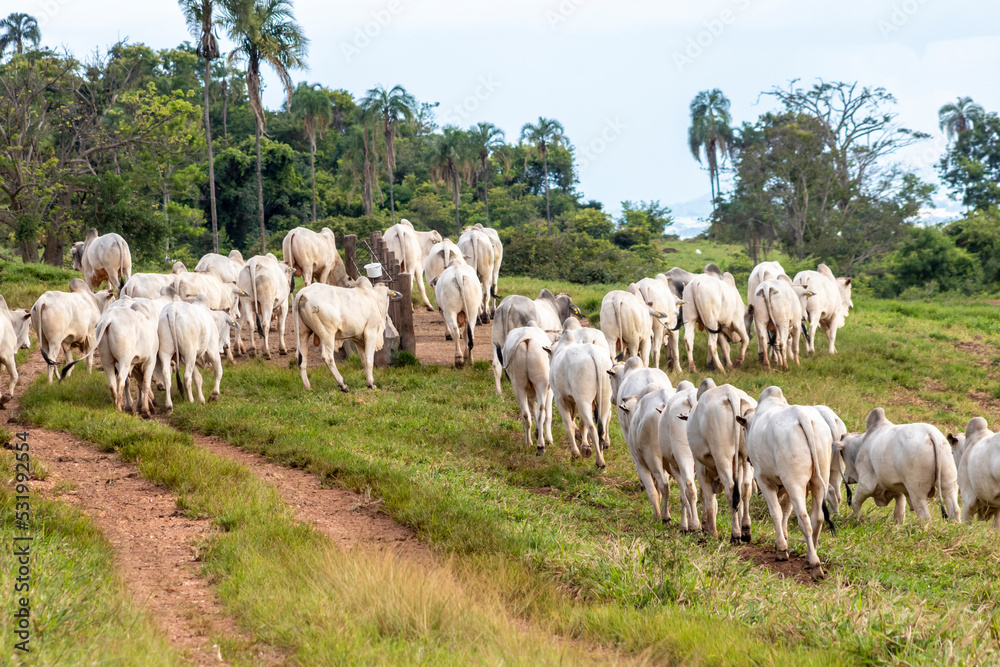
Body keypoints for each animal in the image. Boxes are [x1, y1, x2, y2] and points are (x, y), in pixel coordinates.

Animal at [547, 340, 612, 469]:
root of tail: (593, 351)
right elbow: (581, 425)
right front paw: (585, 447)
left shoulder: (559, 399)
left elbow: (569, 426)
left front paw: (575, 453)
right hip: (604, 398)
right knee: (601, 429)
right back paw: (601, 456)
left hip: (583, 400)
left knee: (592, 427)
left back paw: (600, 462)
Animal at [683, 378, 757, 543]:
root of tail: (732, 394)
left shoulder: (700, 466)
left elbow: (709, 499)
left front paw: (710, 531)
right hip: (746, 458)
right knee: (745, 489)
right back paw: (746, 530)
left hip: (723, 457)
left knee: (730, 490)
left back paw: (735, 535)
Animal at [738, 386, 836, 579]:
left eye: (745, 429)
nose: (748, 458)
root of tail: (802, 415)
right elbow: (785, 510)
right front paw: (783, 540)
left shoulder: (764, 481)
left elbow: (776, 512)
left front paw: (781, 549)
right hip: (817, 478)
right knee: (817, 517)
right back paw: (809, 557)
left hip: (794, 482)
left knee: (804, 519)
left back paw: (815, 565)